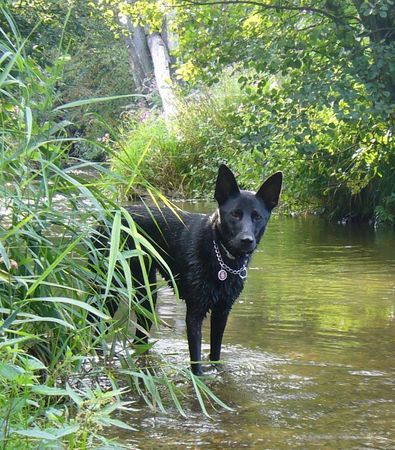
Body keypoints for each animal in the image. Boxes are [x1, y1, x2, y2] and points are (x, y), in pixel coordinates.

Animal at [100, 165, 284, 376]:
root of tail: (108, 213)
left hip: (147, 295)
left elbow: (215, 353)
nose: (247, 240)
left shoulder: (222, 312)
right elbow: (196, 359)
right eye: (235, 214)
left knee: (140, 338)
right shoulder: (195, 312)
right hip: (111, 291)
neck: (220, 256)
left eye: (257, 217)